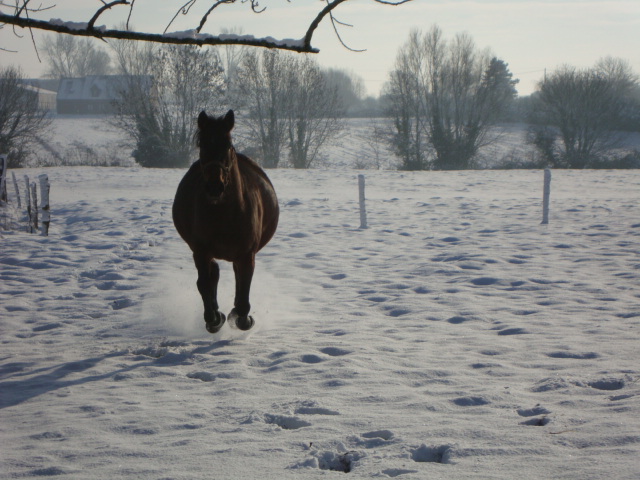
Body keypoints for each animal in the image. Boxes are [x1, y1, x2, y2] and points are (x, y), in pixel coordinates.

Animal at [171, 110, 278, 332]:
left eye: (227, 144)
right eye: (202, 144)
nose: (215, 186)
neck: (223, 214)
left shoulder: (246, 254)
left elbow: (244, 290)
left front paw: (241, 317)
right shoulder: (200, 251)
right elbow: (204, 283)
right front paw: (214, 319)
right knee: (212, 275)